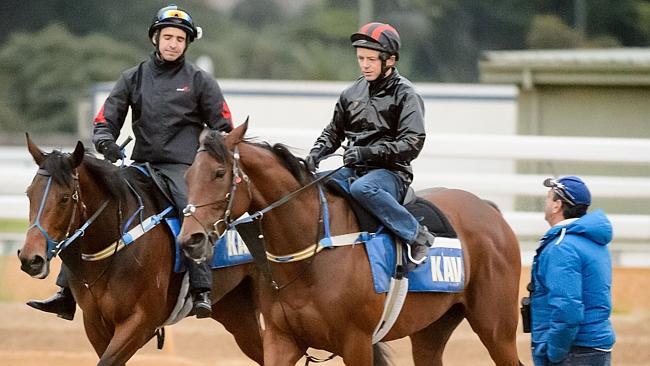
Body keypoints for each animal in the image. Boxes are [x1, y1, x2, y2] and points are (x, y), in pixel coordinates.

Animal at [16, 135, 264, 366]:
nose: (31, 258)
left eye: (65, 198)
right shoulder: (95, 323)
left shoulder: (141, 322)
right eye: (29, 193)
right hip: (236, 311)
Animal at [180, 123, 524, 366]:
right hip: (432, 329)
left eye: (219, 173)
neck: (313, 254)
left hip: (497, 328)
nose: (190, 239)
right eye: (188, 176)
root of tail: (490, 210)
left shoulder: (357, 343)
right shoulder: (281, 340)